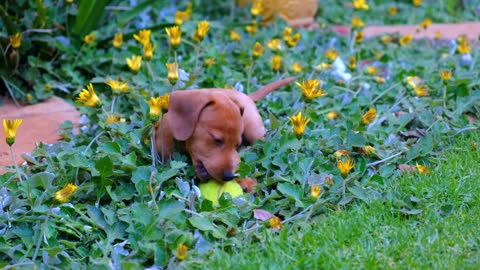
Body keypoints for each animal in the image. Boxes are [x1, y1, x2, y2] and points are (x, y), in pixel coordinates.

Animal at [156, 76, 296, 190]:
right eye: (217, 140)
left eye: (236, 145)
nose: (228, 177)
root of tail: (246, 96)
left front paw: (245, 181)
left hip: (254, 130)